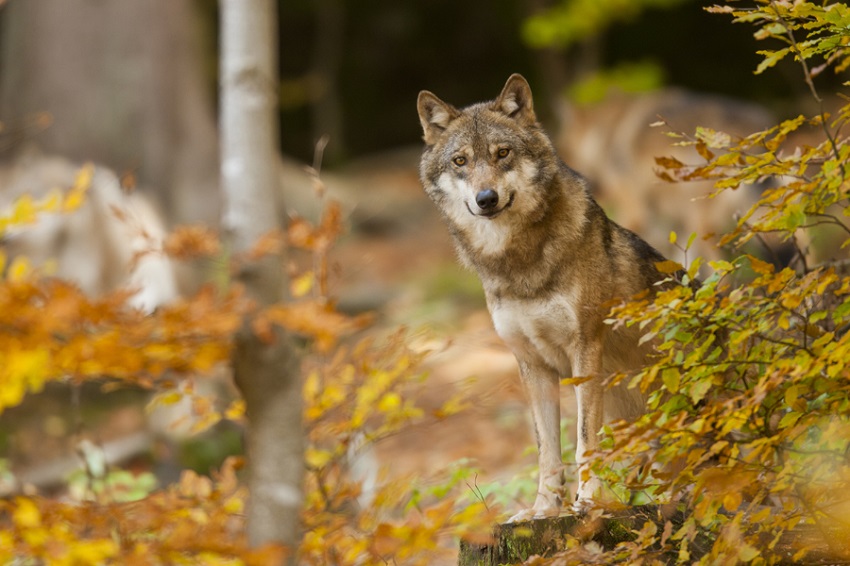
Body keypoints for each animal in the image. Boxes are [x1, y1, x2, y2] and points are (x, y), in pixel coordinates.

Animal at [414, 74, 680, 524]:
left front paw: (586, 502)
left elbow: (585, 441)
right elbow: (547, 452)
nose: (486, 198)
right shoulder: (531, 364)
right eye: (461, 161)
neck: (518, 265)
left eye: (502, 153)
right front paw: (543, 510)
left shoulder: (586, 350)